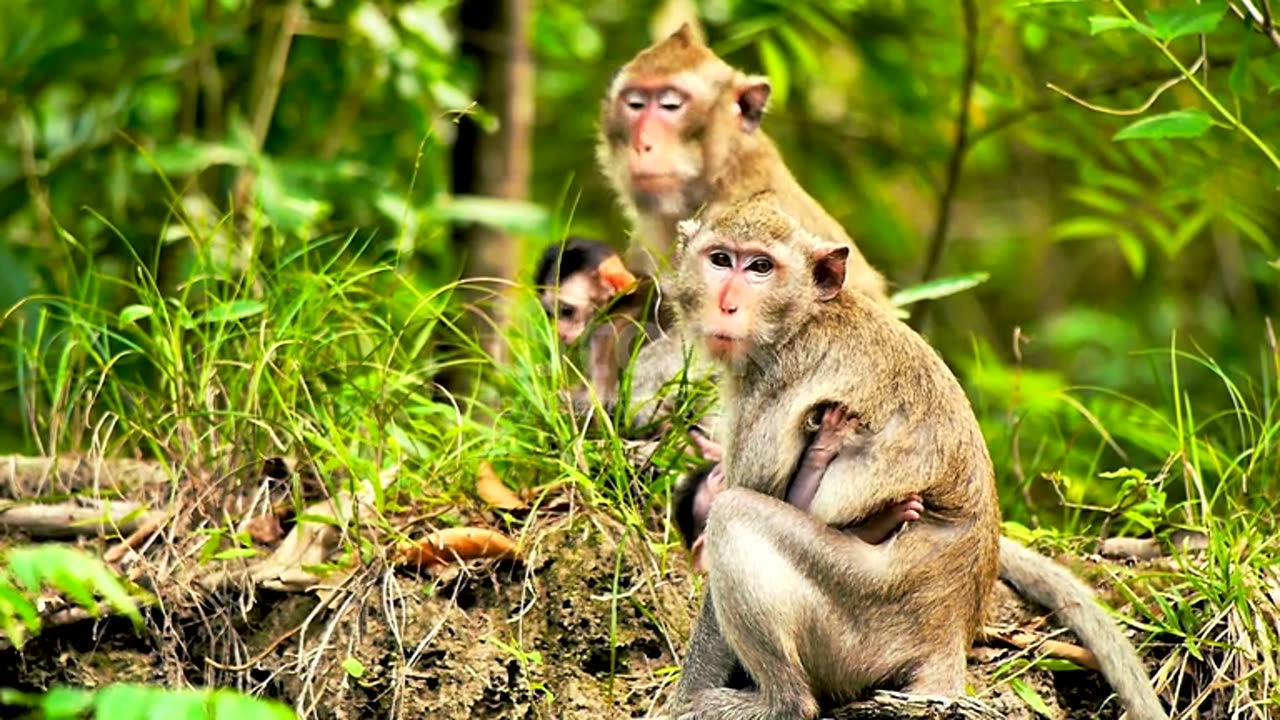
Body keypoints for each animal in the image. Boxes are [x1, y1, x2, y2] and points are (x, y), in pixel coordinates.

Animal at [660, 194, 1172, 717]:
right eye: (721, 259)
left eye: (761, 267)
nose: (727, 304)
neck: (802, 318)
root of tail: (950, 633)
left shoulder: (769, 387)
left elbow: (749, 496)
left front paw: (681, 699)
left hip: (858, 621)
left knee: (736, 515)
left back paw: (780, 702)